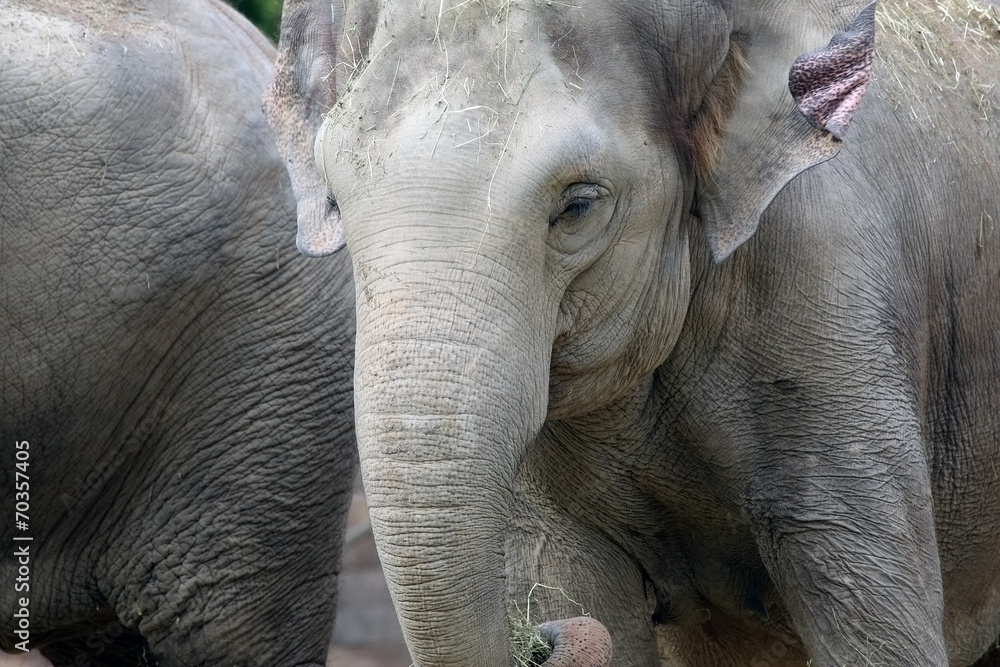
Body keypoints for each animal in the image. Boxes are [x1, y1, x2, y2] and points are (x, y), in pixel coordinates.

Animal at [265, 0, 1000, 665]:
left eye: (578, 206)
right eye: (337, 200)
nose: (541, 637)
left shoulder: (830, 300)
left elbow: (877, 630)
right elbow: (571, 582)